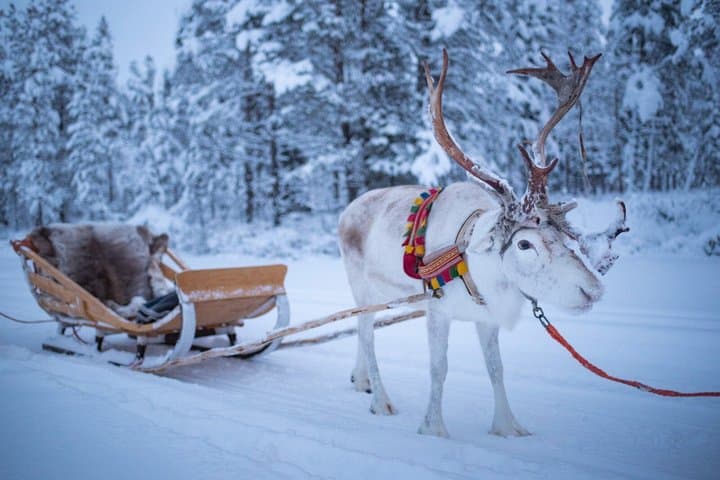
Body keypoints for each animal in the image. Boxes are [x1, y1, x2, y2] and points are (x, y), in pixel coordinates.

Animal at [338, 49, 628, 438]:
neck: (474, 267)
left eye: (565, 237)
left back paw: (361, 380)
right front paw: (433, 428)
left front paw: (508, 426)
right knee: (368, 336)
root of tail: (347, 211)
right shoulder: (437, 311)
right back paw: (381, 401)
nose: (593, 290)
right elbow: (439, 369)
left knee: (359, 331)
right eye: (524, 244)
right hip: (361, 287)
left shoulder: (487, 318)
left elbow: (495, 369)